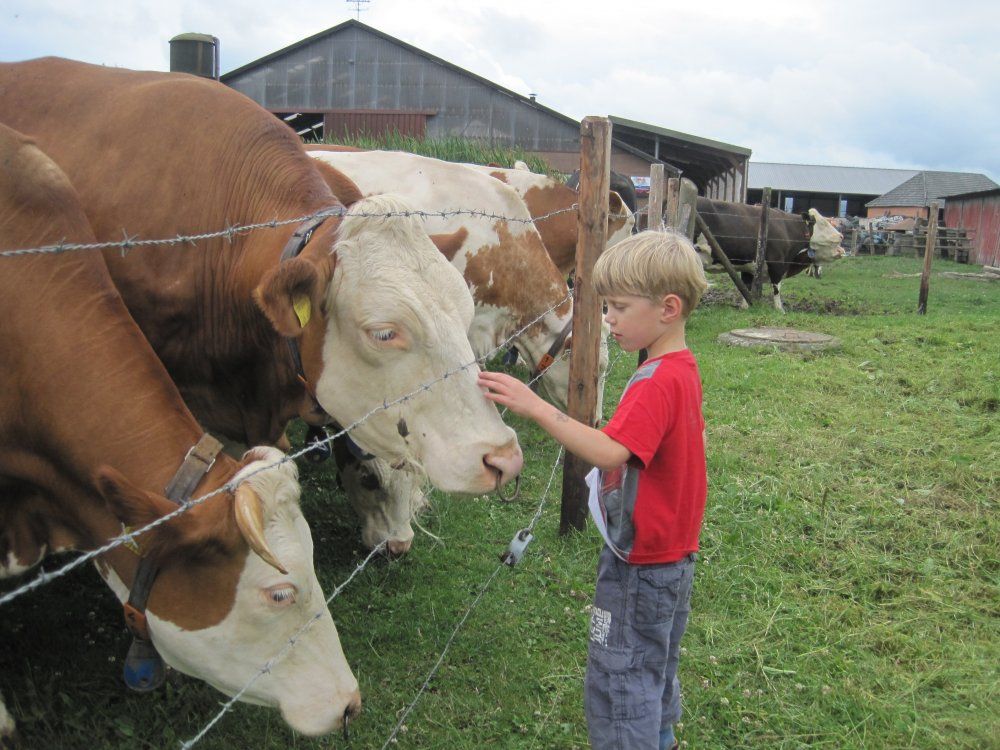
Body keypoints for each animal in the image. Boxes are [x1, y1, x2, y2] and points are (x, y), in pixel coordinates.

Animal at [693, 197, 845, 311]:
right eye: (823, 223)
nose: (841, 236)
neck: (788, 229)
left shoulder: (749, 266)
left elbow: (746, 286)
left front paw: (745, 307)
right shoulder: (777, 263)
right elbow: (777, 287)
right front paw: (780, 309)